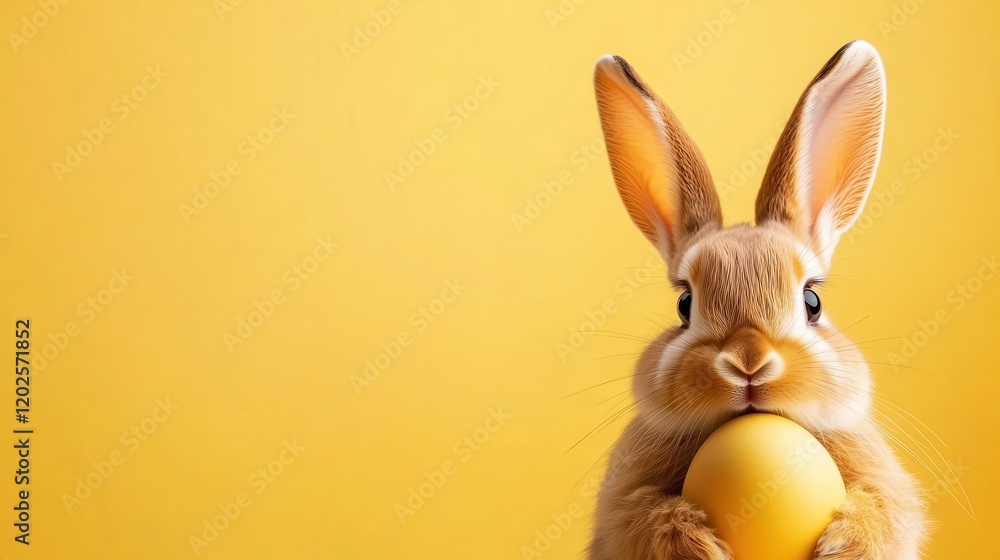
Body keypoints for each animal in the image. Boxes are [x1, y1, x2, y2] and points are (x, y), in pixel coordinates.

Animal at [587, 40, 927, 560]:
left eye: (812, 302)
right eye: (685, 305)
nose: (749, 363)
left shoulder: (886, 485)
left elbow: (885, 511)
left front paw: (845, 543)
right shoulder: (622, 501)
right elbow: (643, 517)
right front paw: (698, 544)